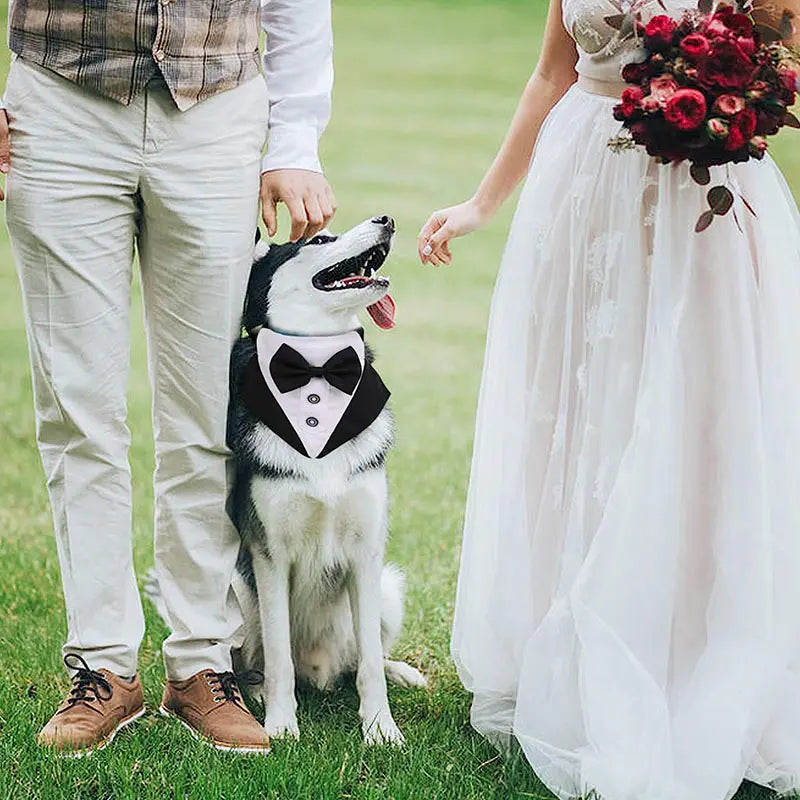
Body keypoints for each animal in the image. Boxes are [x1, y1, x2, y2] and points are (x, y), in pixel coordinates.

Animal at [223, 216, 424, 748]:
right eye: (318, 239)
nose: (386, 219)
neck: (317, 368)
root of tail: (320, 670)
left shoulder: (367, 552)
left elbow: (370, 665)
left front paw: (381, 729)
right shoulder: (269, 556)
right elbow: (277, 661)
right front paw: (280, 725)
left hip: (389, 587)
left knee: (362, 659)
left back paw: (402, 671)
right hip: (238, 592)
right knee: (255, 663)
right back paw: (253, 695)